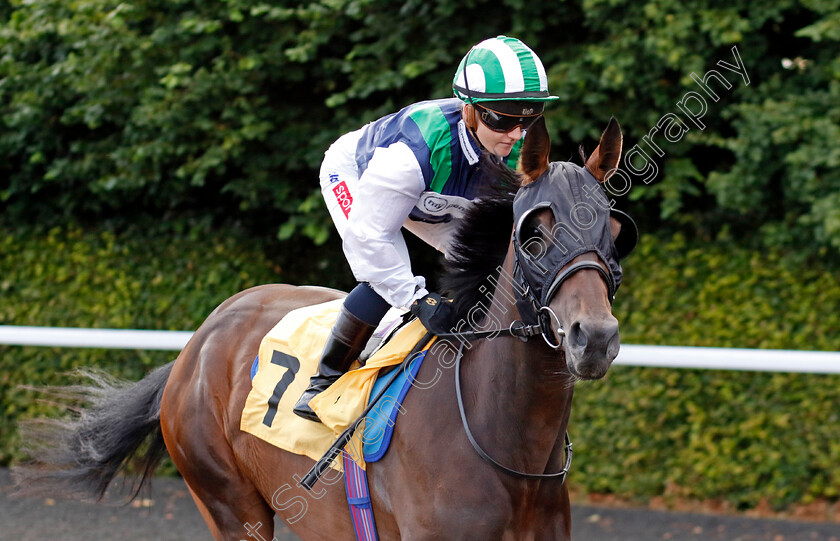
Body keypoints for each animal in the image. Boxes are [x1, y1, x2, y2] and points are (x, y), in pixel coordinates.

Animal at [14, 116, 636, 536]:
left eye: (614, 228)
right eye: (533, 233)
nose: (594, 337)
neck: (508, 449)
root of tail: (197, 344)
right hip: (230, 505)